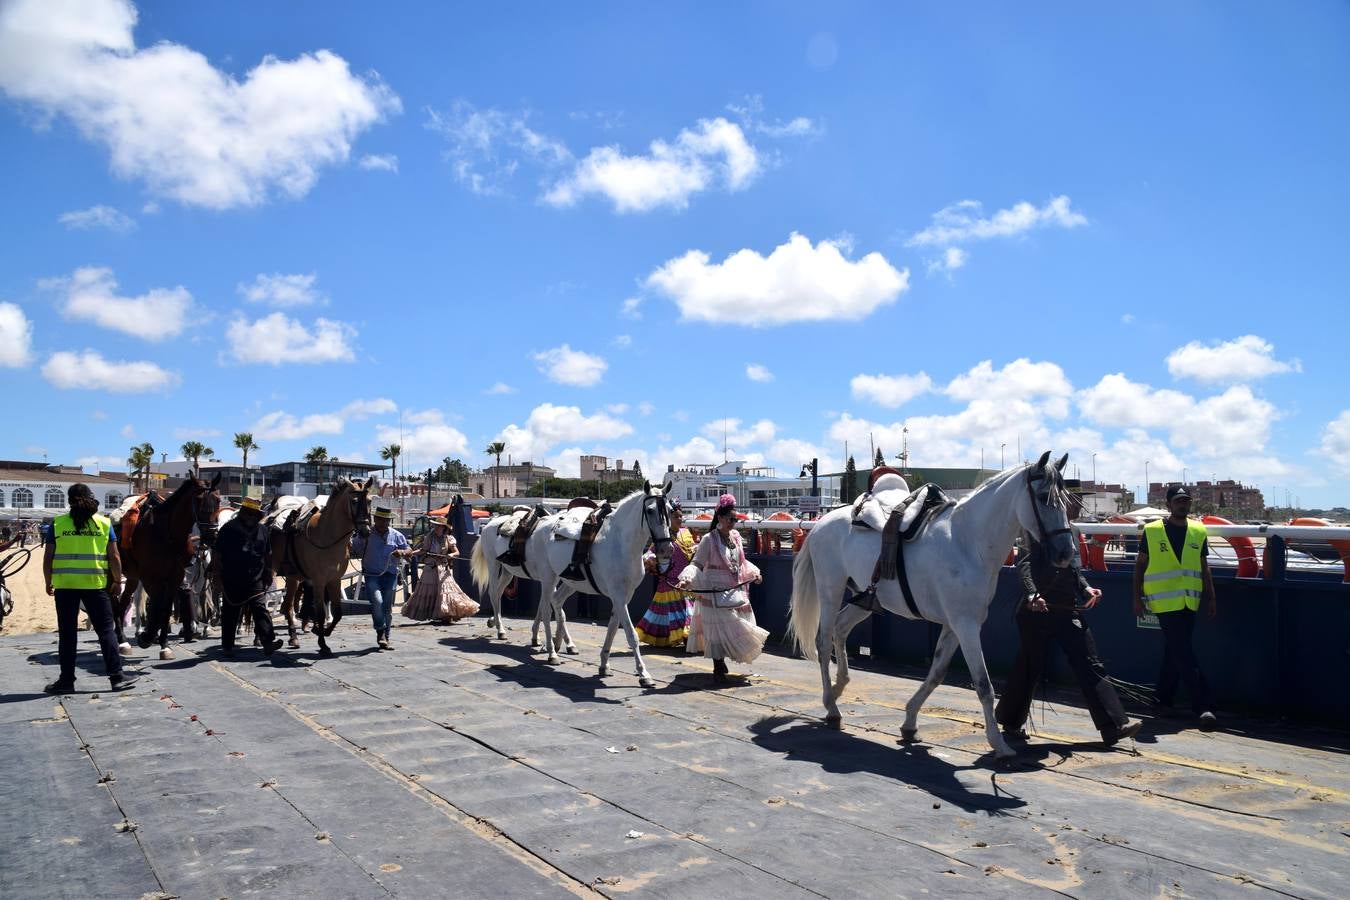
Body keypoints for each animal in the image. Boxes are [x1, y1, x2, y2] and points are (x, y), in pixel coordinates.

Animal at [115, 474, 221, 658]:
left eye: (218, 500)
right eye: (199, 500)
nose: (212, 536)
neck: (167, 535)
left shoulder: (175, 578)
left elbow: (164, 609)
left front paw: (164, 645)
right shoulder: (151, 578)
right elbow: (156, 607)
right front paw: (147, 637)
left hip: (133, 577)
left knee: (124, 601)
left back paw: (123, 641)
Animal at [272, 474, 375, 658]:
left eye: (370, 500)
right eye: (354, 501)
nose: (366, 531)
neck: (327, 536)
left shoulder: (334, 580)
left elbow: (338, 612)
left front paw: (325, 632)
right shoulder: (319, 582)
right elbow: (320, 614)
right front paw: (323, 644)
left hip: (293, 578)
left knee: (288, 606)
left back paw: (293, 638)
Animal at [472, 485, 675, 690]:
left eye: (670, 509)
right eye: (650, 510)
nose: (666, 550)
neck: (619, 543)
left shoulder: (624, 596)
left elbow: (612, 628)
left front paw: (604, 664)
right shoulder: (618, 596)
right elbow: (631, 635)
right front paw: (644, 674)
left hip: (527, 575)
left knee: (546, 601)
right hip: (524, 572)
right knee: (532, 605)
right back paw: (545, 649)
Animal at [788, 450, 1069, 761]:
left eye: (1066, 500)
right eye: (1043, 497)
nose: (1066, 552)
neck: (968, 542)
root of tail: (822, 523)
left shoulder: (954, 625)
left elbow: (937, 673)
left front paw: (910, 722)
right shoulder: (966, 626)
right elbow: (984, 684)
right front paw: (999, 743)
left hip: (862, 601)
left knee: (840, 630)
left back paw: (839, 688)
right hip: (831, 591)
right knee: (824, 641)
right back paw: (832, 707)